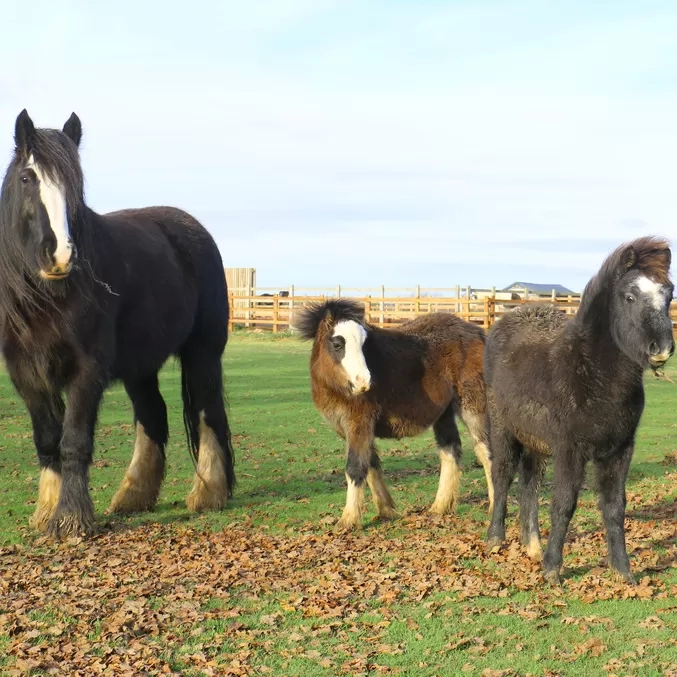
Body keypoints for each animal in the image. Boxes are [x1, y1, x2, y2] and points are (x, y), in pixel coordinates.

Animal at [0, 108, 235, 536]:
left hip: (202, 355)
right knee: (152, 415)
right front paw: (47, 509)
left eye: (75, 185)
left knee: (208, 413)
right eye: (27, 178)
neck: (44, 298)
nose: (60, 255)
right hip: (140, 366)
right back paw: (133, 496)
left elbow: (73, 441)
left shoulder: (86, 371)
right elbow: (47, 440)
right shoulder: (27, 375)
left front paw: (70, 519)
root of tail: (193, 229)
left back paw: (209, 493)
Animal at [484, 236, 672, 580]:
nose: (662, 349)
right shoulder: (570, 449)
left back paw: (532, 545)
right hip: (504, 429)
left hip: (535, 440)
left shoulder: (620, 450)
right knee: (502, 474)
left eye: (669, 295)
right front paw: (552, 569)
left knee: (529, 481)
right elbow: (564, 503)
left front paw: (623, 570)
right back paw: (495, 539)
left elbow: (614, 506)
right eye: (629, 296)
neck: (591, 373)